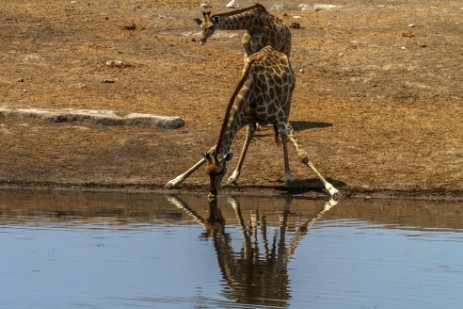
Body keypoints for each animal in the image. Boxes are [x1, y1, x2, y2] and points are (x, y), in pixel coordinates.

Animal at [165, 46, 338, 197]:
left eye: (220, 171)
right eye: (208, 171)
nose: (212, 193)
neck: (251, 89)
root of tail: (275, 50)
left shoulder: (279, 116)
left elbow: (303, 155)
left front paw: (332, 189)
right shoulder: (242, 119)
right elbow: (214, 147)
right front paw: (175, 181)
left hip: (287, 102)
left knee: (283, 137)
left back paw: (288, 176)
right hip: (257, 119)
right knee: (250, 134)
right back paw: (235, 176)